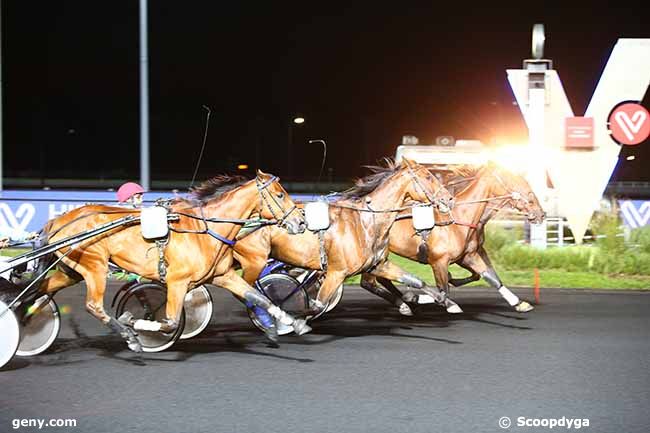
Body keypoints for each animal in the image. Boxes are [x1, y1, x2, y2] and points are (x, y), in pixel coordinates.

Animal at [36, 170, 310, 350]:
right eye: (280, 195)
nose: (301, 222)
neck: (205, 230)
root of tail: (58, 221)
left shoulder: (224, 275)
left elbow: (259, 297)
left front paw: (293, 323)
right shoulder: (177, 282)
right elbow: (169, 323)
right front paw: (132, 322)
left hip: (70, 271)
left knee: (40, 291)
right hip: (95, 266)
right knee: (93, 306)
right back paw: (129, 337)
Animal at [233, 157, 460, 318]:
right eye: (429, 176)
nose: (449, 199)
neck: (367, 221)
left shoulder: (378, 265)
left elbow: (417, 281)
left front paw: (443, 301)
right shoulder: (336, 272)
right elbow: (316, 306)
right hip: (254, 260)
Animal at [362, 160, 544, 312]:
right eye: (520, 184)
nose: (541, 214)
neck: (459, 218)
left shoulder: (469, 255)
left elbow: (489, 277)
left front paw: (518, 302)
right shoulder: (439, 262)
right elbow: (444, 292)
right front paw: (441, 301)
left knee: (378, 280)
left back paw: (403, 303)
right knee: (368, 282)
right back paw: (405, 302)